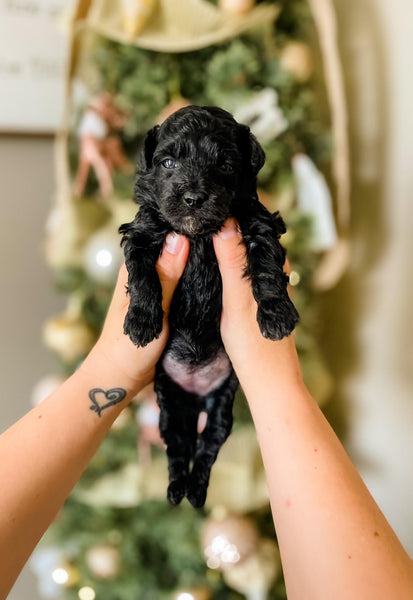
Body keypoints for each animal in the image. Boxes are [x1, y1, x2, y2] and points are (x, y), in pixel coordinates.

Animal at [119, 105, 296, 508]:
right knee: (178, 447)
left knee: (208, 446)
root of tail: (197, 398)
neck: (199, 235)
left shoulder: (258, 222)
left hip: (221, 405)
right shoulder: (143, 231)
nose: (193, 198)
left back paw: (196, 491)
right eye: (168, 162)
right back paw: (175, 490)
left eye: (226, 164)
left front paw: (277, 315)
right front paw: (142, 322)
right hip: (169, 406)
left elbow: (267, 267)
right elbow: (142, 276)